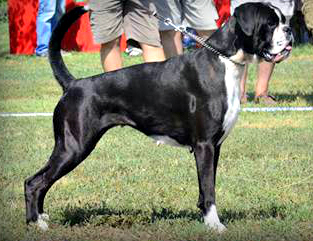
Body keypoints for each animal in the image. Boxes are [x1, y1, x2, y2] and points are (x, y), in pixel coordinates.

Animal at [25, 1, 292, 232]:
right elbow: (209, 189)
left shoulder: (215, 147)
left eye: (283, 20)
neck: (224, 60)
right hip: (73, 146)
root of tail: (74, 84)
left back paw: (41, 217)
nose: (289, 30)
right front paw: (215, 226)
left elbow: (205, 187)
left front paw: (206, 220)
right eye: (270, 24)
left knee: (42, 181)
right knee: (34, 182)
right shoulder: (204, 145)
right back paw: (35, 223)